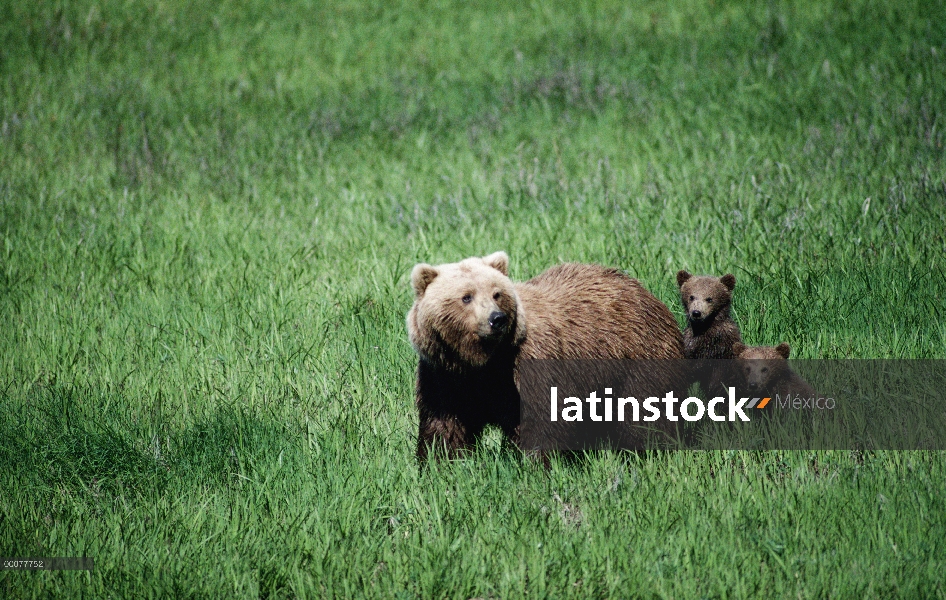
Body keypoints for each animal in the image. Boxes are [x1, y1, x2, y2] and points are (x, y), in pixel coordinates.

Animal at [404, 251, 680, 462]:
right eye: (466, 297)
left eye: (496, 293)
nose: (497, 319)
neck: (484, 363)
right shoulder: (445, 376)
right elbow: (444, 424)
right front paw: (440, 464)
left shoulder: (529, 366)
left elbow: (540, 419)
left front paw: (531, 463)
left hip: (638, 359)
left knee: (643, 414)